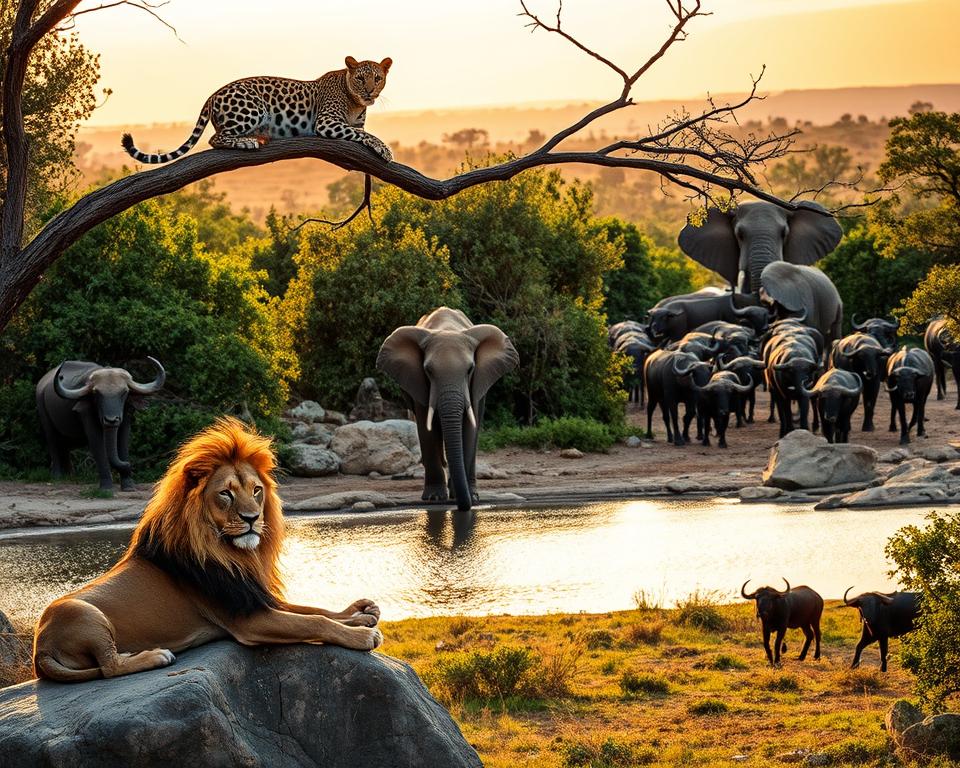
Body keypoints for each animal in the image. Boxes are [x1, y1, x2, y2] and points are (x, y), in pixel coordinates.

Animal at [33, 417, 382, 683]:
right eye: (226, 494)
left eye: (257, 491)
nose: (252, 518)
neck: (233, 554)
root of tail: (40, 650)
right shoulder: (249, 620)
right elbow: (315, 622)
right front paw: (363, 636)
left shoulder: (253, 597)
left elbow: (313, 609)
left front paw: (361, 614)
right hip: (83, 613)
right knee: (108, 667)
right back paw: (155, 656)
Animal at [36, 357, 165, 491]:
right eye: (96, 393)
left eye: (124, 392)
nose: (111, 420)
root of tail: (41, 384)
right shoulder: (87, 416)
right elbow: (98, 446)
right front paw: (107, 487)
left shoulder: (126, 417)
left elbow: (123, 444)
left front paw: (128, 485)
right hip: (46, 421)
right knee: (53, 444)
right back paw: (57, 477)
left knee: (64, 447)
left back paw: (69, 476)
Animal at [377, 307, 519, 512]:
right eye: (428, 370)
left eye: (470, 369)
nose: (464, 506)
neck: (447, 329)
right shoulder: (418, 381)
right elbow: (426, 429)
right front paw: (434, 498)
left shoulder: (475, 383)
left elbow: (469, 428)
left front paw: (471, 497)